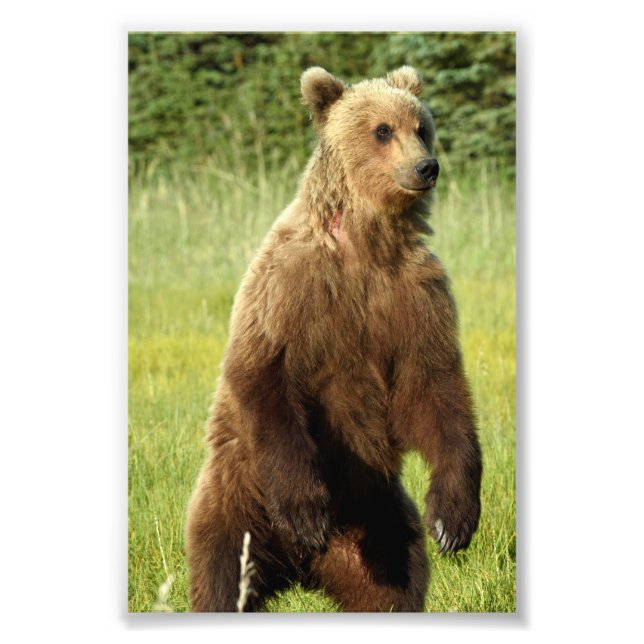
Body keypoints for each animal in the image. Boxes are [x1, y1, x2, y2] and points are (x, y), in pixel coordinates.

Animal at [185, 66, 482, 612]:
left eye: (421, 127)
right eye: (382, 130)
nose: (426, 167)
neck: (369, 242)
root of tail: (297, 569)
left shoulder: (414, 296)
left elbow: (434, 387)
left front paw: (452, 520)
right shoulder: (291, 287)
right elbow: (264, 373)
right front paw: (306, 514)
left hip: (378, 520)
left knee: (395, 583)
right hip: (236, 500)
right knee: (221, 575)